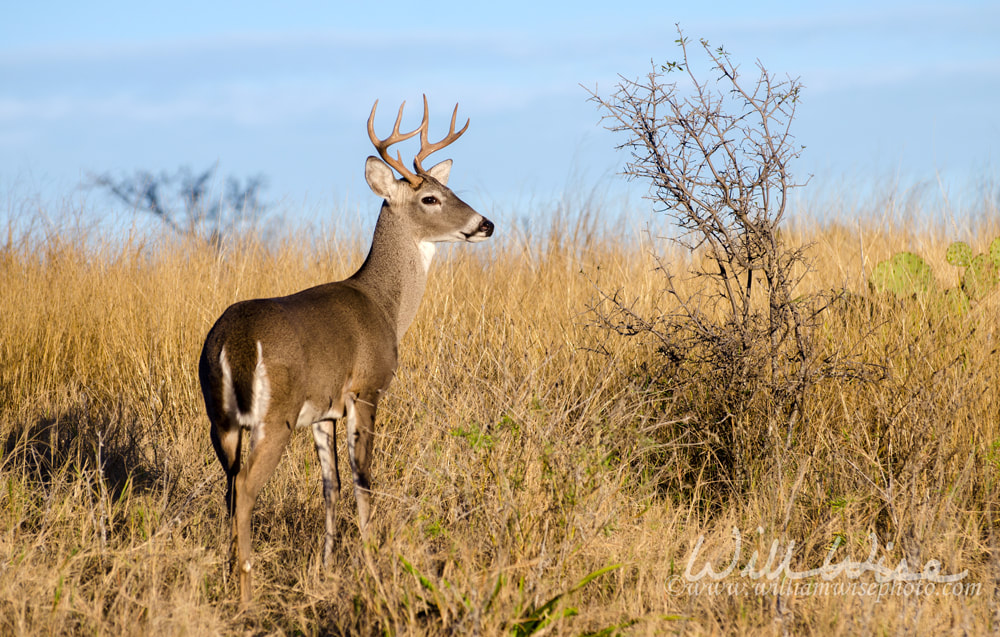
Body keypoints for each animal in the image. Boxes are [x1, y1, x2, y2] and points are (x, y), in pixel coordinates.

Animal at [197, 94, 494, 600]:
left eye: (448, 188)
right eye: (430, 198)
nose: (486, 224)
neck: (385, 307)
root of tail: (232, 343)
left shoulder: (323, 410)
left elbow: (330, 484)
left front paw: (328, 564)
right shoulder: (365, 389)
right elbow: (363, 479)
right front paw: (373, 562)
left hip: (222, 421)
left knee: (230, 488)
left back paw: (227, 573)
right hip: (272, 418)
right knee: (246, 490)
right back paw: (247, 589)